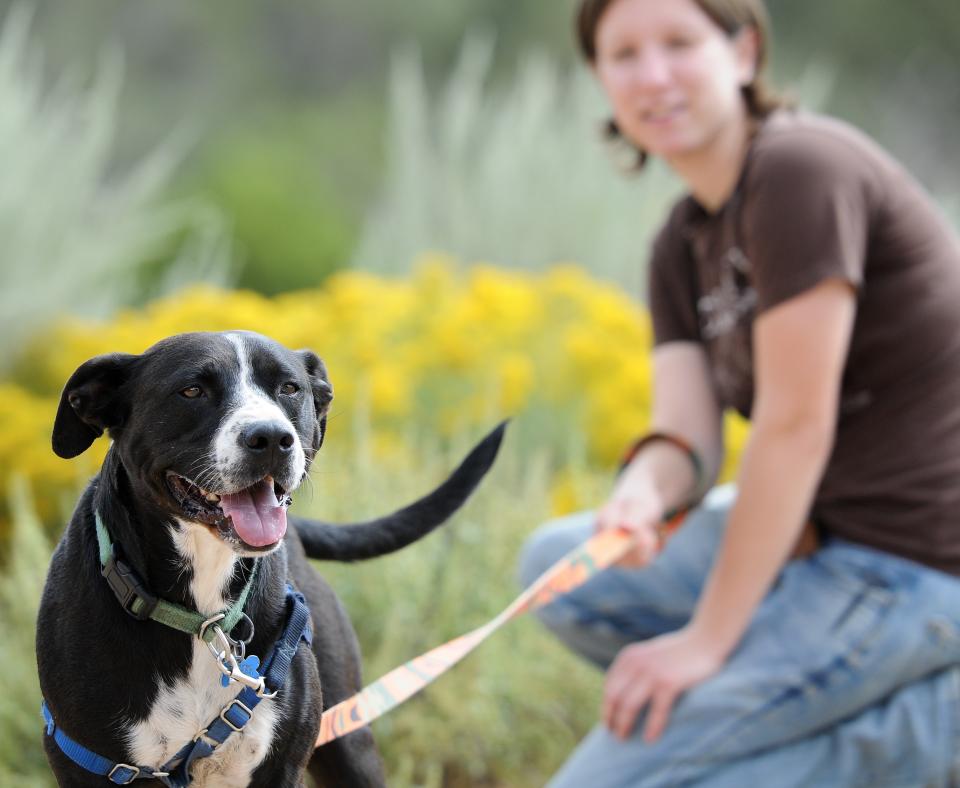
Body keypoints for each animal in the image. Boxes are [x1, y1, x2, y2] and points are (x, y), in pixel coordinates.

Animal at [37, 330, 502, 784]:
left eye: (290, 388)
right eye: (191, 390)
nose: (273, 438)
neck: (203, 615)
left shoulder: (283, 764)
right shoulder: (86, 762)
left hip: (350, 744)